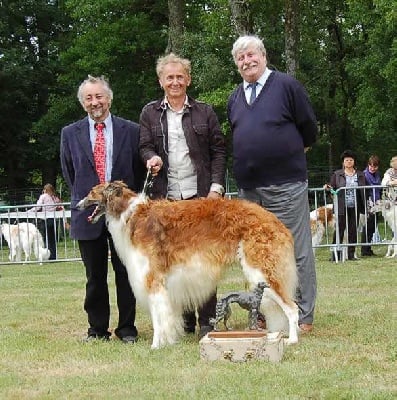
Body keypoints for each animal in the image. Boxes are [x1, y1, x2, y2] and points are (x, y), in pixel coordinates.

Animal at [77, 180, 298, 348]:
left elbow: (158, 316)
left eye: (92, 192)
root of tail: (273, 219)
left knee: (292, 308)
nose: (76, 206)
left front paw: (156, 345)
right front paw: (169, 341)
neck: (130, 215)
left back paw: (292, 340)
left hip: (261, 273)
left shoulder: (153, 279)